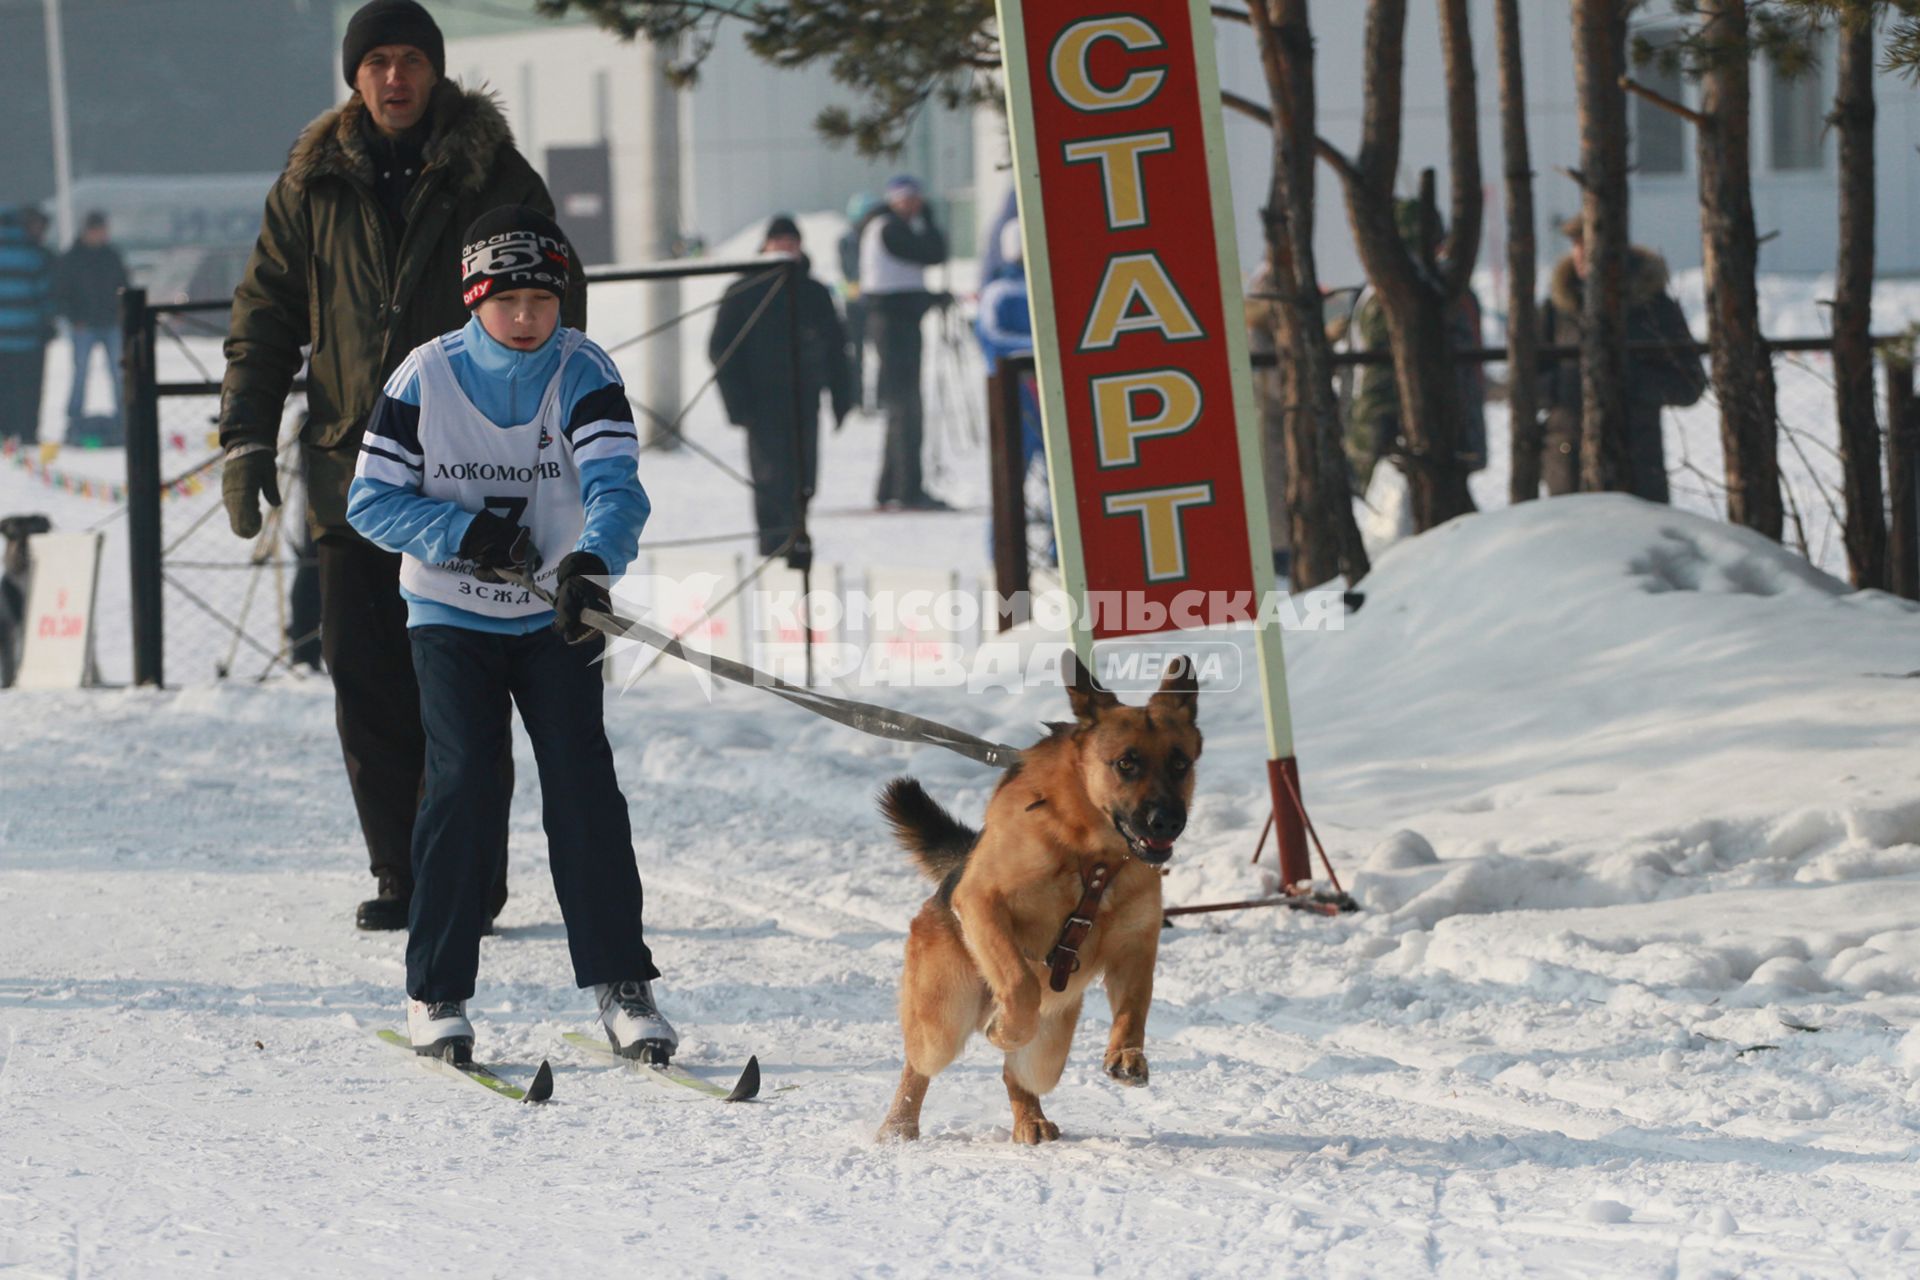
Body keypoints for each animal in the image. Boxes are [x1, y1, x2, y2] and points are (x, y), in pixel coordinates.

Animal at [875, 652, 1198, 1143]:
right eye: (1127, 763)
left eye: (1180, 764)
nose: (1168, 822)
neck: (1093, 855)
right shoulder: (983, 904)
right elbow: (1020, 983)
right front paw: (1006, 1027)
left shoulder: (1136, 946)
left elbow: (1135, 1005)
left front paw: (1127, 1053)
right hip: (943, 1022)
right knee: (920, 1063)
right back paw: (899, 1124)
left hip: (1050, 1052)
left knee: (1018, 1074)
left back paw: (1030, 1117)